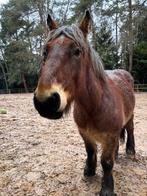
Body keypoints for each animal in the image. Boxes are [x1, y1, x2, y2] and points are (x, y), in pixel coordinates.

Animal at [33, 10, 136, 196]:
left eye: (77, 51)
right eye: (45, 51)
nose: (45, 101)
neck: (94, 106)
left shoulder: (110, 135)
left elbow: (107, 162)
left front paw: (107, 188)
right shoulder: (85, 133)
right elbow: (90, 151)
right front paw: (89, 171)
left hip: (130, 117)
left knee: (130, 131)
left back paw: (131, 151)